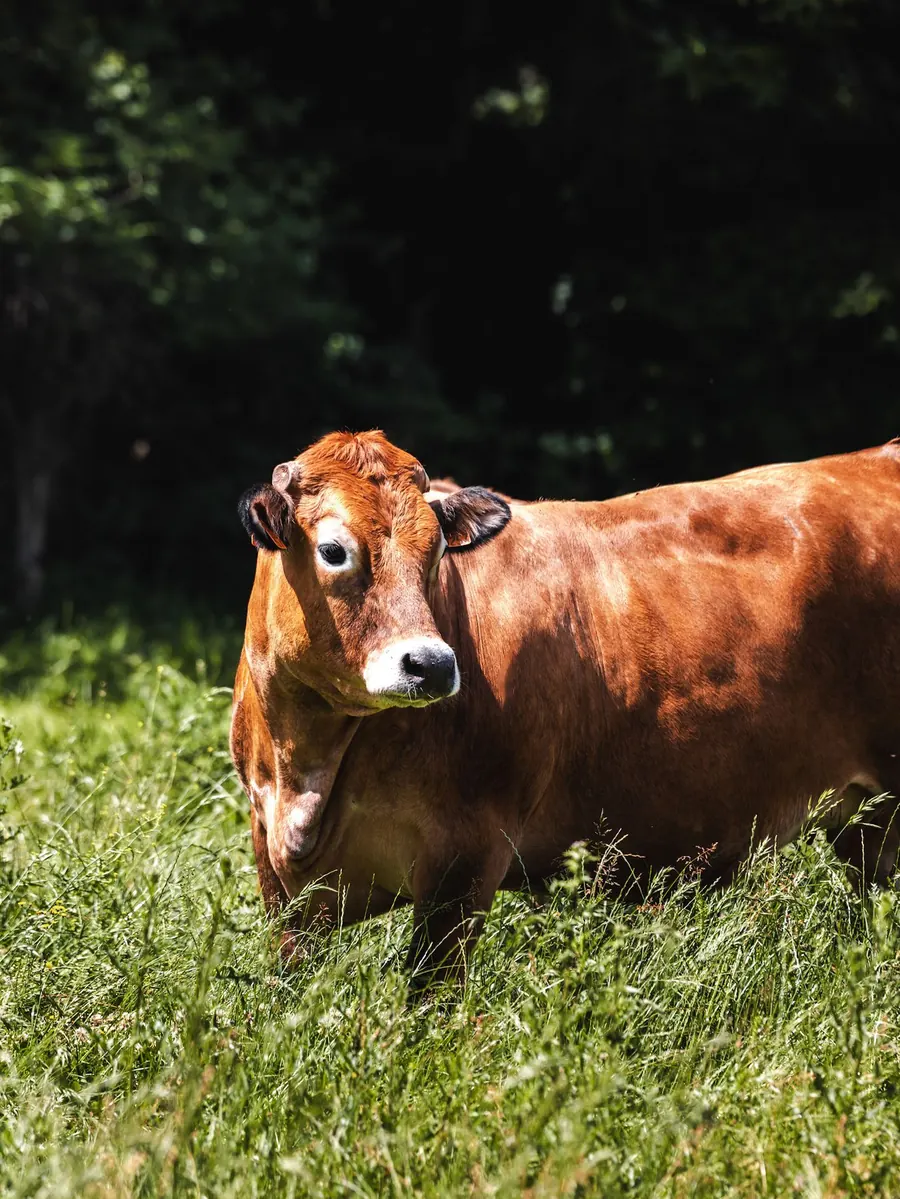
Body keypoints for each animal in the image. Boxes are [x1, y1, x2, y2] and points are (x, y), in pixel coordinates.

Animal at [231, 430, 900, 990]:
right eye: (333, 550)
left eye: (438, 552)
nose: (433, 665)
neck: (307, 770)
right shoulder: (273, 863)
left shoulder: (467, 853)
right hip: (866, 824)